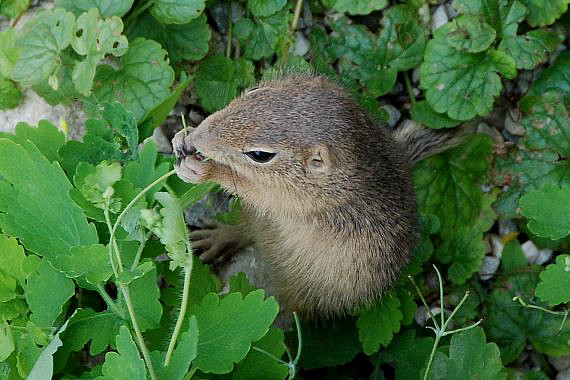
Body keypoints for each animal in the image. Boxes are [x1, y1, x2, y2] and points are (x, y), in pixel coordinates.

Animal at [172, 72, 462, 320]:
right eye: (255, 91)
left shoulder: (290, 198)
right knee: (245, 231)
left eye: (260, 155)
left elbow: (247, 187)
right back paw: (216, 237)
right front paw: (183, 135)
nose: (199, 139)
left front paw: (203, 169)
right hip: (255, 221)